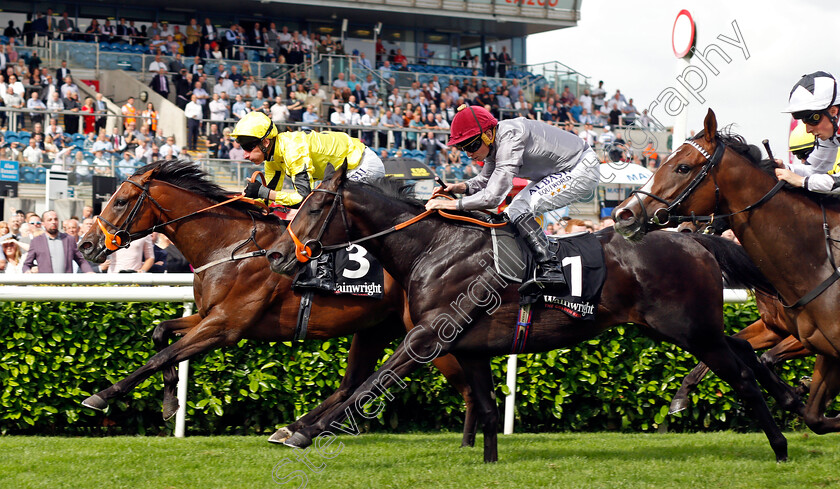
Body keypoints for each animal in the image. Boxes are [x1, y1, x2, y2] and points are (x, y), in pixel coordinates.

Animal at [77, 160, 480, 446]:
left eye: (121, 201)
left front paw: (101, 396)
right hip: (375, 328)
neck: (230, 244)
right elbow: (161, 335)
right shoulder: (209, 316)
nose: (85, 244)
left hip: (427, 333)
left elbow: (161, 355)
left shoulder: (225, 326)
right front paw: (170, 401)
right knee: (352, 382)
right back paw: (294, 428)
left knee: (466, 387)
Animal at [266, 163, 792, 462]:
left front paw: (301, 432)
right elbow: (485, 406)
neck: (433, 247)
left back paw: (781, 446)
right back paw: (789, 400)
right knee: (743, 346)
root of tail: (694, 238)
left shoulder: (427, 336)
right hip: (677, 328)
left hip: (691, 329)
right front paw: (488, 462)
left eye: (314, 208)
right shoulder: (467, 346)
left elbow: (371, 385)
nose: (276, 255)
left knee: (742, 377)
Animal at [612, 108, 840, 432]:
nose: (624, 214)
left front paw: (796, 390)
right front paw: (682, 395)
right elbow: (747, 350)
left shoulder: (809, 341)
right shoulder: (776, 328)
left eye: (682, 167)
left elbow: (768, 358)